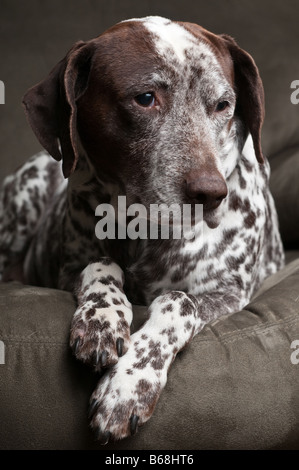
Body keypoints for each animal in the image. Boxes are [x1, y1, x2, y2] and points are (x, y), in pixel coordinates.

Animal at [0, 17, 286, 444]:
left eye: (222, 104)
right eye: (146, 98)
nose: (211, 194)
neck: (145, 226)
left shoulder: (229, 296)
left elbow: (178, 302)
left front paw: (128, 385)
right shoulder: (67, 269)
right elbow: (101, 265)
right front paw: (101, 318)